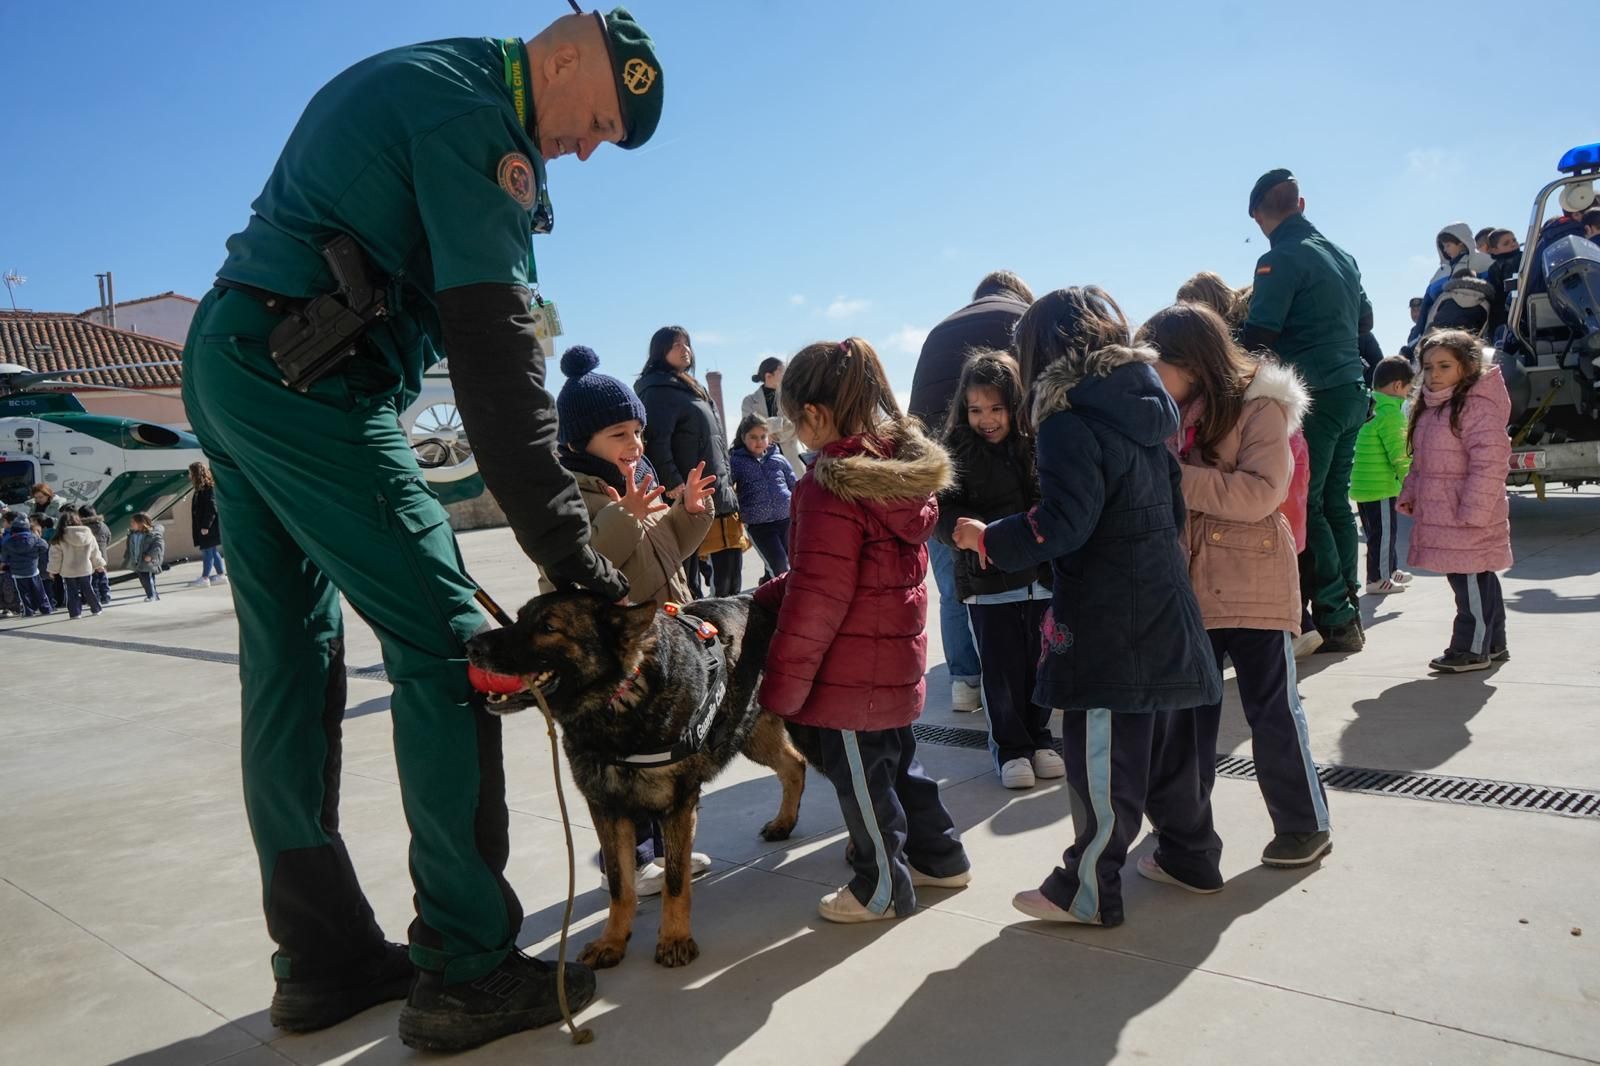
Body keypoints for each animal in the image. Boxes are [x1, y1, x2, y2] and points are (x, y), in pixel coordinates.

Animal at [464, 585, 812, 966]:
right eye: (519, 618)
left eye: (548, 627)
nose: (471, 647)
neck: (620, 698)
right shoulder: (607, 809)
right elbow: (620, 885)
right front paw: (613, 940)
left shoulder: (678, 807)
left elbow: (675, 882)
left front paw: (674, 938)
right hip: (753, 737)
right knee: (795, 764)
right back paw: (784, 822)